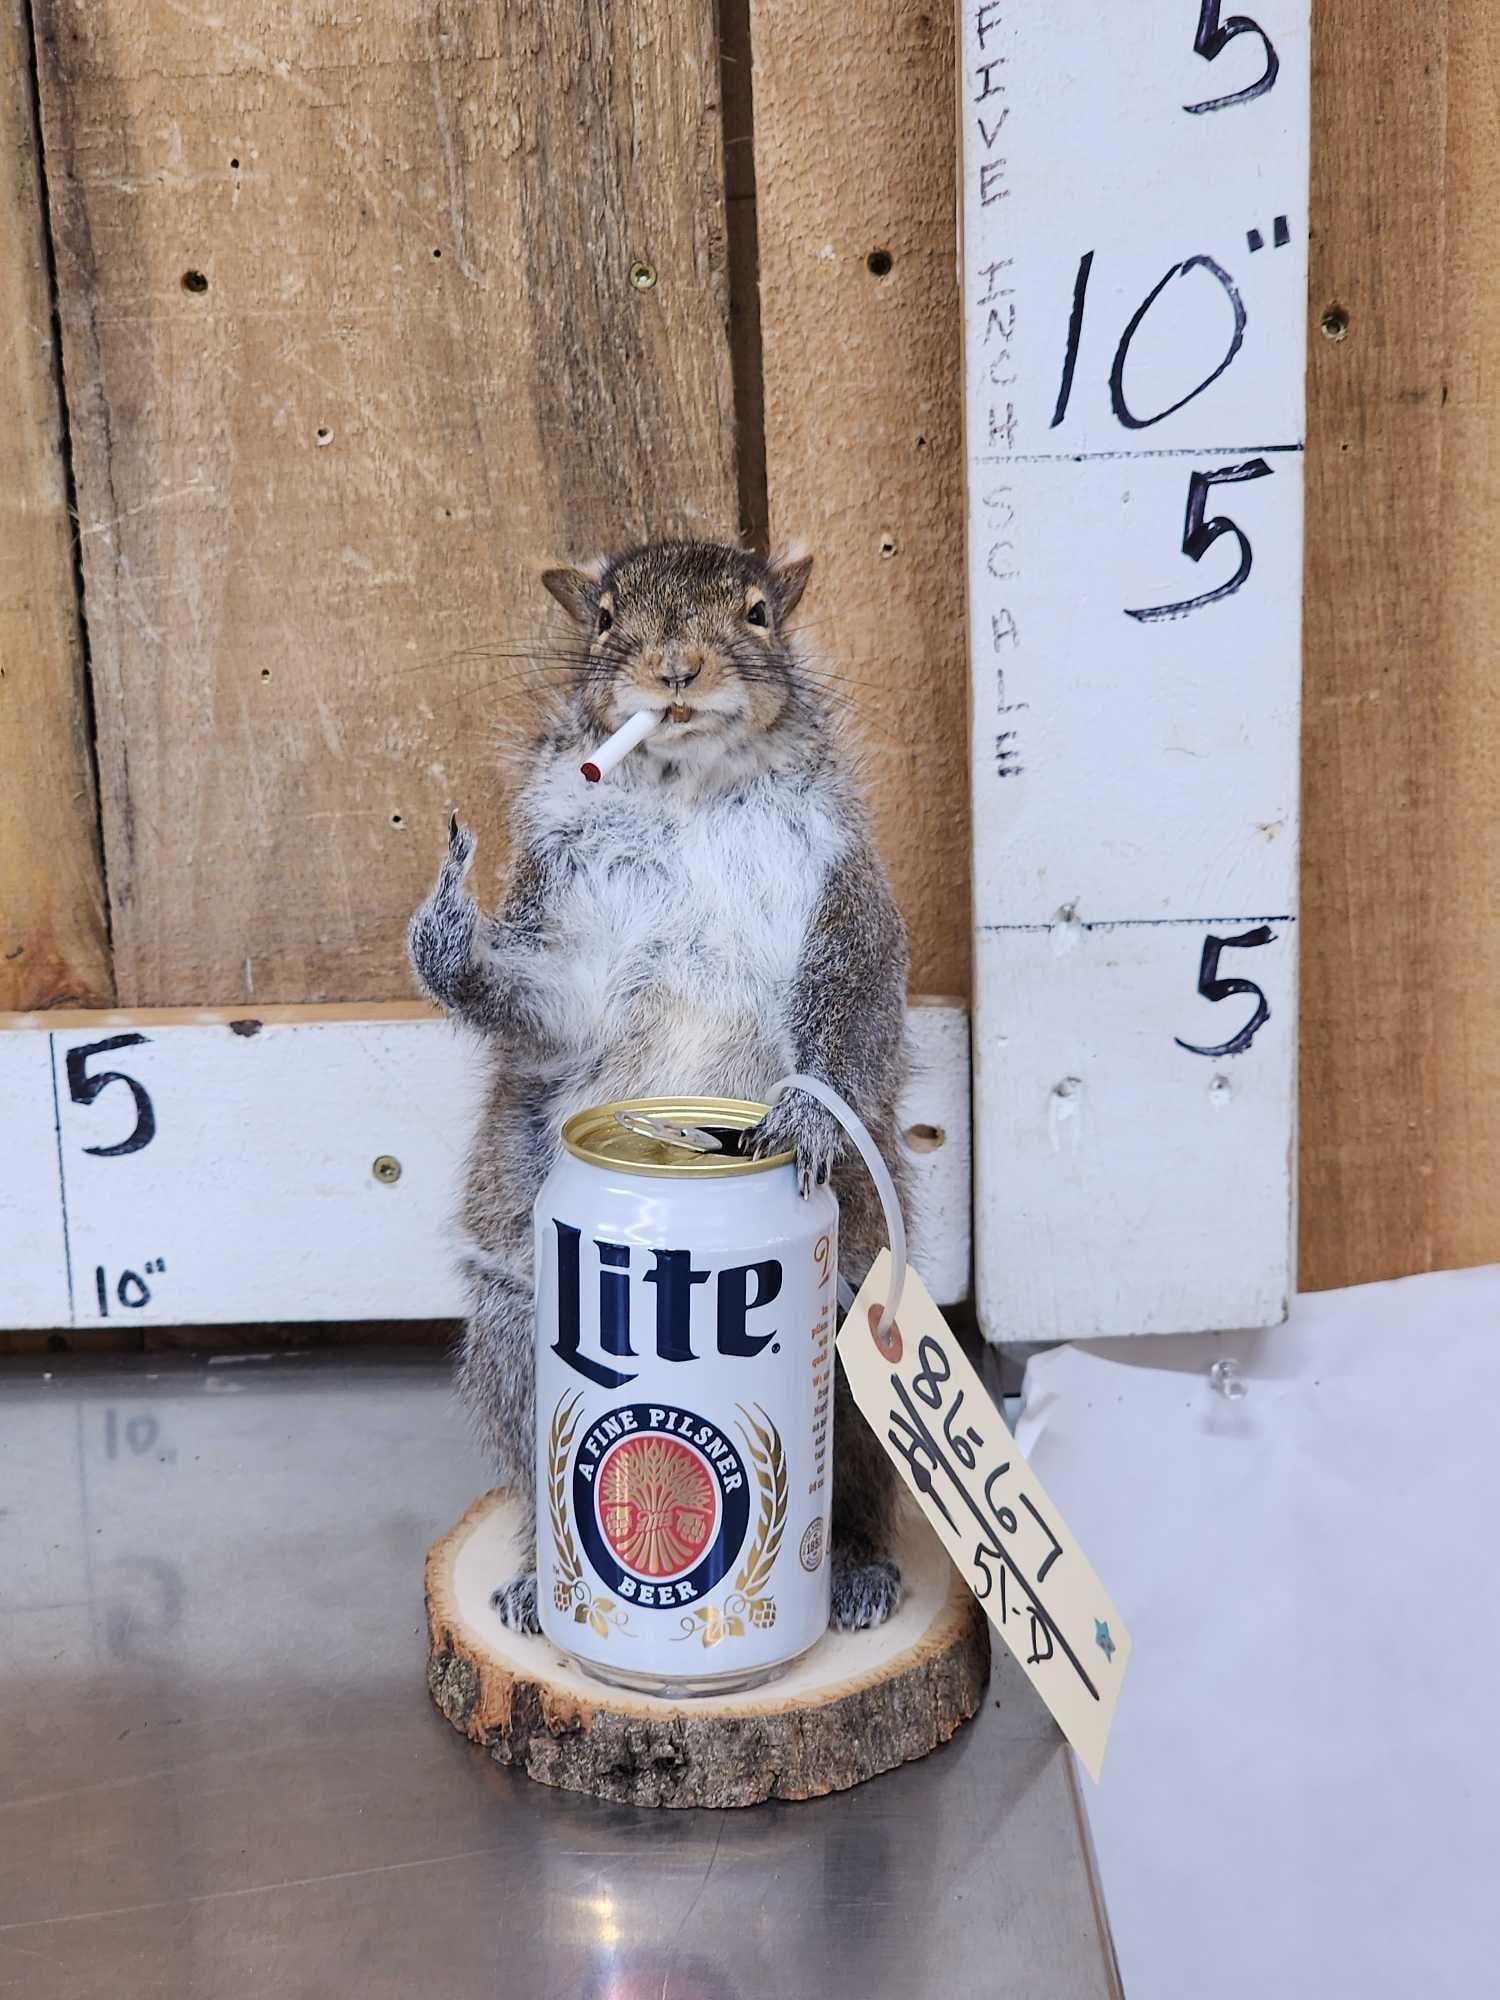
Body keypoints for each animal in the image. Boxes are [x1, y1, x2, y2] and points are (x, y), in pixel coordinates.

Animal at [408, 538, 911, 1637]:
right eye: (603, 619)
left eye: (761, 613)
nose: (676, 668)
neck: (687, 795)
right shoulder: (565, 928)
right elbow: (538, 1004)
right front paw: (446, 918)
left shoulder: (848, 899)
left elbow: (851, 1013)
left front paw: (806, 1118)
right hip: (515, 1336)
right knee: (535, 1466)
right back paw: (533, 1579)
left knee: (856, 1485)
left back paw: (854, 1570)